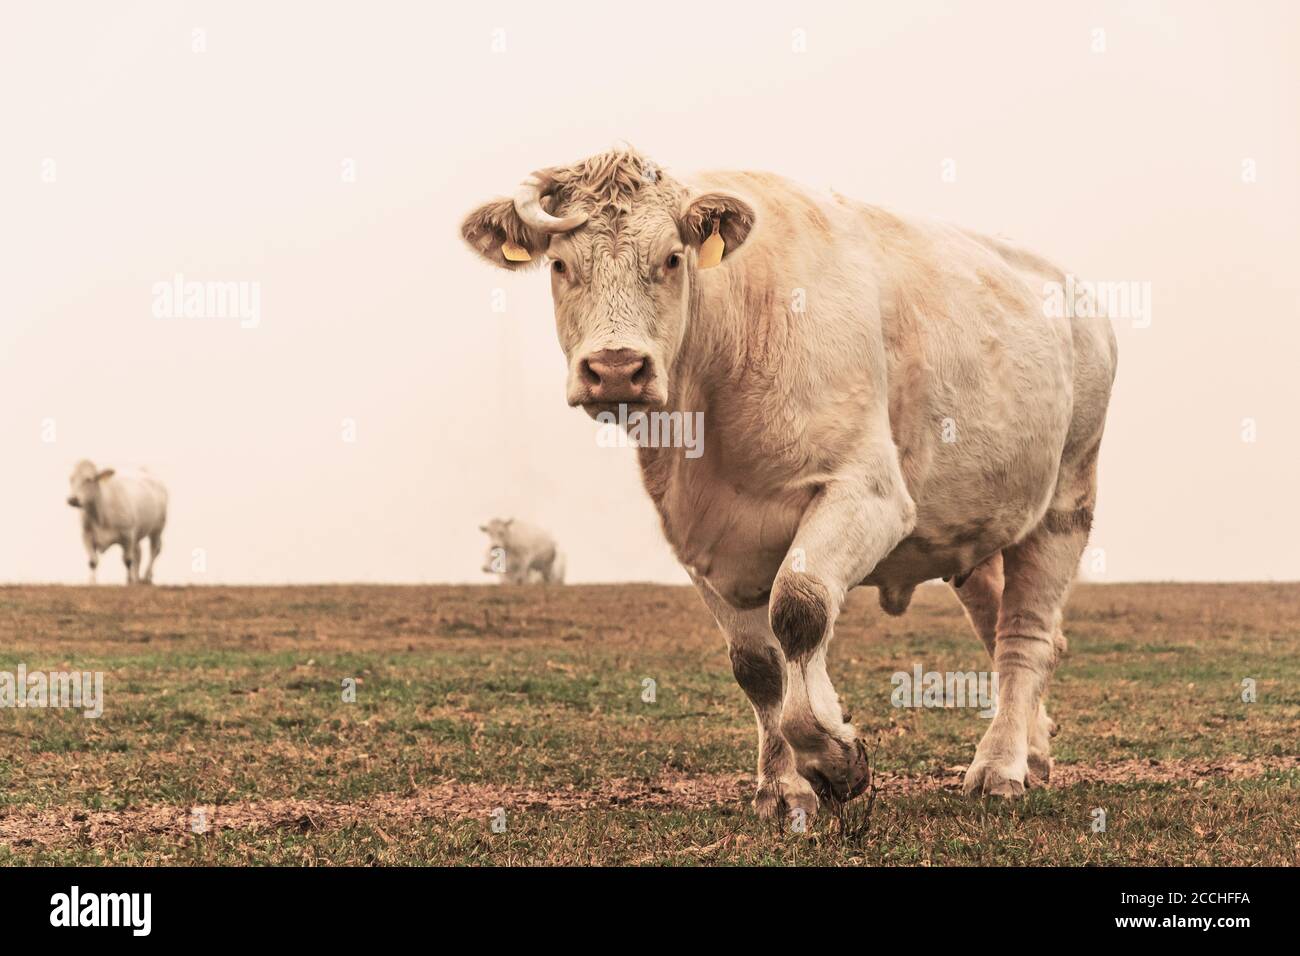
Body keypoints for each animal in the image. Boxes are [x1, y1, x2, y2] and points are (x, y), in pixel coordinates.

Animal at [460, 145, 1118, 816]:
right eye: (560, 264)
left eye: (671, 258)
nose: (616, 368)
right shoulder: (702, 539)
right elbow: (756, 664)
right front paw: (781, 786)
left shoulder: (868, 492)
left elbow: (800, 607)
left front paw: (834, 757)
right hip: (974, 531)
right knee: (1003, 626)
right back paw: (1033, 751)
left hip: (1067, 497)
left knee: (1026, 634)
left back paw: (1000, 765)